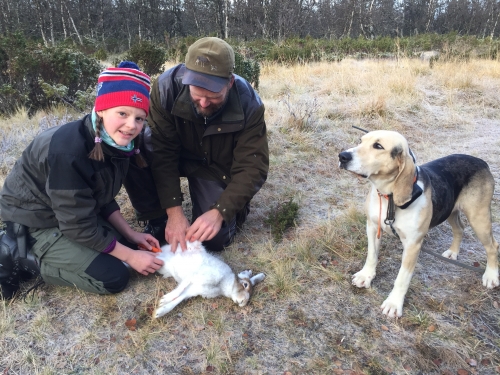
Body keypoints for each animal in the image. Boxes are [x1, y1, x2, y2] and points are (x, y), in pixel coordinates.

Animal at [338, 131, 498, 318]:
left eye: (378, 146)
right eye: (360, 141)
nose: (342, 156)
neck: (389, 197)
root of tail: (482, 162)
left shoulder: (413, 245)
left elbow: (402, 278)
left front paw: (394, 303)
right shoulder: (372, 227)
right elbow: (372, 255)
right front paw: (366, 276)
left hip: (478, 218)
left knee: (493, 246)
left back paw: (491, 275)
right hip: (450, 210)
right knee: (460, 229)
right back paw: (453, 252)